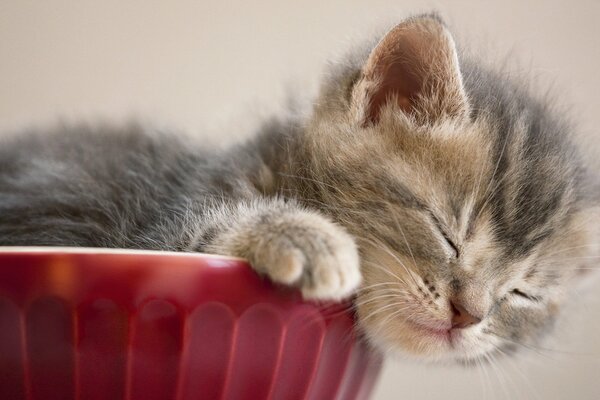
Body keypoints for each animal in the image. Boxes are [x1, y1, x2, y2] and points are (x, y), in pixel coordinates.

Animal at [1, 14, 600, 364]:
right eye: (443, 230)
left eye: (524, 293)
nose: (468, 316)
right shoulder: (154, 224)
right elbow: (200, 234)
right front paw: (304, 238)